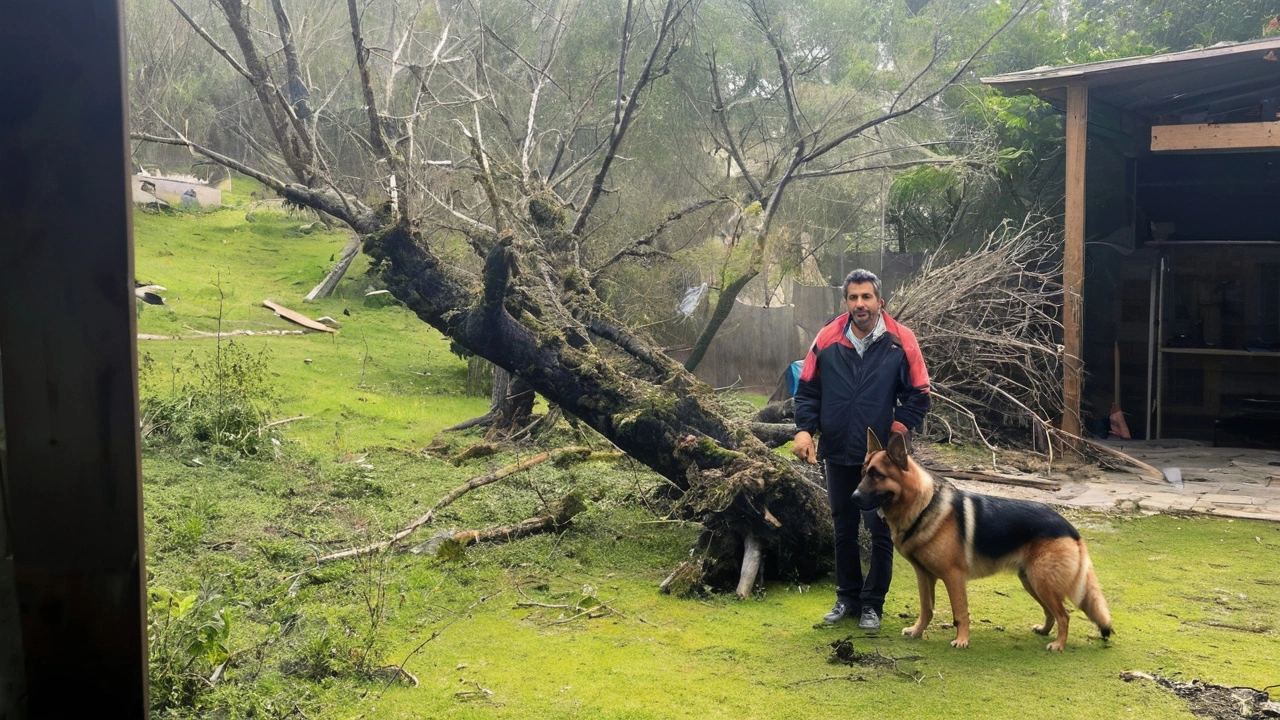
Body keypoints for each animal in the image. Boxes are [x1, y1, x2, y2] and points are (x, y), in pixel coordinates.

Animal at [849, 427, 1111, 648]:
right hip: (1032, 581)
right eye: (863, 472)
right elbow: (926, 608)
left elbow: (960, 612)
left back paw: (1058, 644)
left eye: (877, 476)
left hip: (1042, 581)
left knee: (1064, 615)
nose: (853, 497)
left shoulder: (954, 577)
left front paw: (962, 640)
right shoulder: (924, 576)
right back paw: (1045, 631)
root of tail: (1069, 527)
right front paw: (917, 631)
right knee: (1051, 612)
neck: (923, 506)